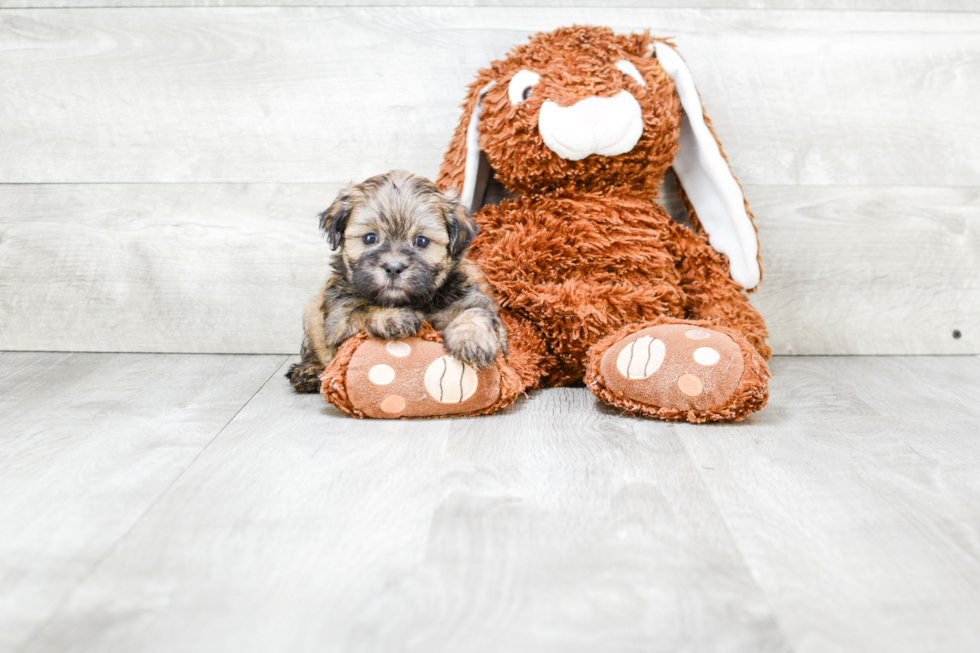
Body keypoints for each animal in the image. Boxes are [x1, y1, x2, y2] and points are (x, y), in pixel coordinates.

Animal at [284, 169, 510, 392]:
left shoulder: (468, 298)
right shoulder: (339, 318)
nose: (394, 267)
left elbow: (475, 312)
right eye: (370, 238)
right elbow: (363, 309)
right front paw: (393, 317)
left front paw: (472, 340)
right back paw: (308, 371)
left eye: (421, 241)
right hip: (311, 316)